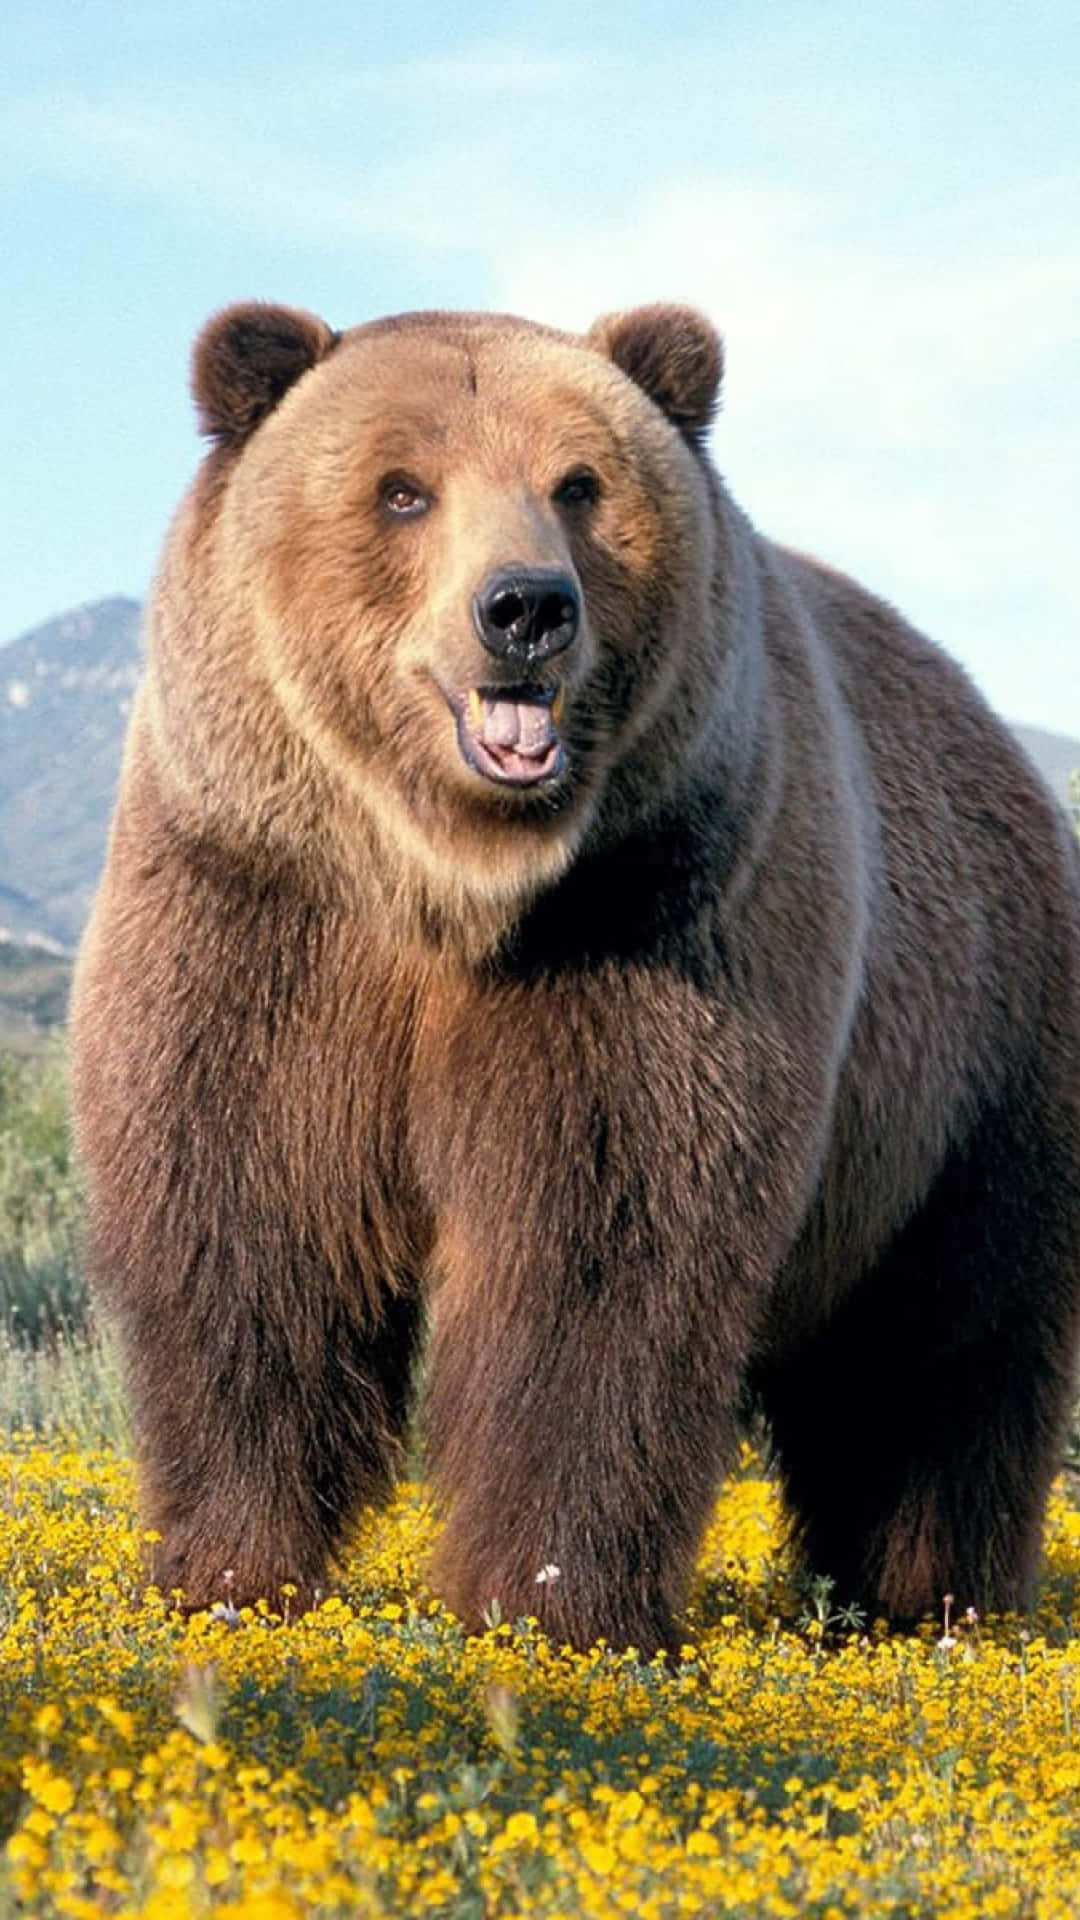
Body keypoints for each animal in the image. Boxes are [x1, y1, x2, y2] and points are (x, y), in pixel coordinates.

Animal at [70, 298, 1080, 1655]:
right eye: (402, 490)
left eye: (580, 484)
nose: (524, 607)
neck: (448, 883)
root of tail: (1002, 741)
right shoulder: (261, 907)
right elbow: (251, 1221)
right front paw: (228, 1569)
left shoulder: (648, 921)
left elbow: (598, 1249)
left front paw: (551, 1598)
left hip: (976, 1051)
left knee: (948, 1342)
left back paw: (927, 1599)